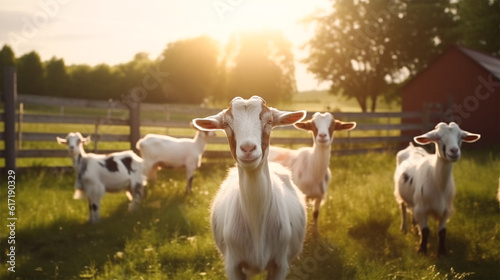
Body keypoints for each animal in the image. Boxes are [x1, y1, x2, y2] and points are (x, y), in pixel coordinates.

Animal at [394, 122, 480, 256]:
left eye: (460, 136)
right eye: (438, 137)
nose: (454, 151)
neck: (439, 186)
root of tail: (412, 147)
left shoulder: (446, 210)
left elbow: (442, 232)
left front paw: (442, 252)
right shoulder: (422, 208)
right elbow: (425, 231)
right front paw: (422, 250)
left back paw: (415, 228)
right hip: (400, 193)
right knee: (403, 208)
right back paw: (404, 228)